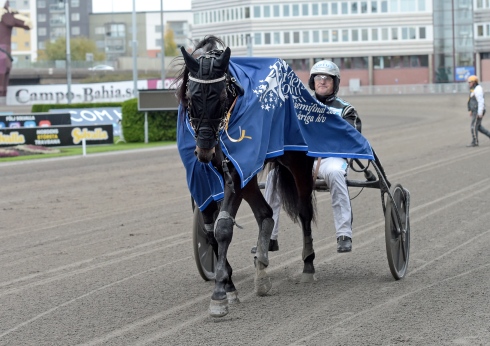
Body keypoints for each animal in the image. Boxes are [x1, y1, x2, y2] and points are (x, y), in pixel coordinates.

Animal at [176, 36, 318, 318]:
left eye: (221, 96)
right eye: (190, 95)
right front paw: (228, 282)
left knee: (304, 209)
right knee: (265, 214)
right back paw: (261, 270)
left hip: (297, 160)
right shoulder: (203, 178)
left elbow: (223, 228)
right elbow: (209, 231)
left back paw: (308, 264)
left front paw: (220, 294)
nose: (205, 148)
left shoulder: (237, 171)